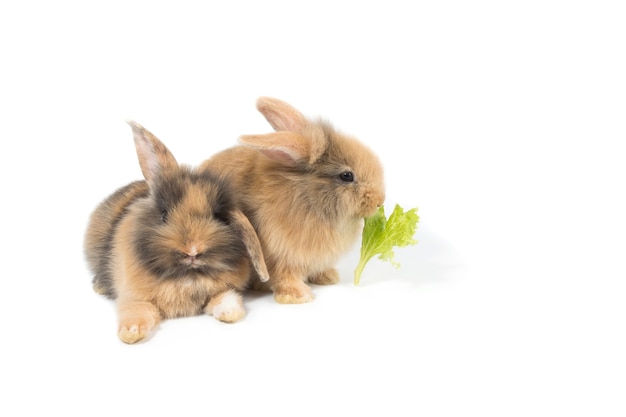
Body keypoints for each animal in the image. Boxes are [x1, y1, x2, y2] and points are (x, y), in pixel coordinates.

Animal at [83, 119, 268, 342]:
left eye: (218, 216)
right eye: (163, 215)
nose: (192, 250)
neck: (187, 275)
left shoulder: (220, 291)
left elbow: (225, 298)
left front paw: (231, 312)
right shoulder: (135, 296)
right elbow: (137, 310)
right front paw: (131, 333)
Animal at [200, 97, 386, 302]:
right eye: (347, 176)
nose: (380, 201)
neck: (308, 198)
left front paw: (328, 277)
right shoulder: (282, 255)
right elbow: (284, 276)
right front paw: (298, 296)